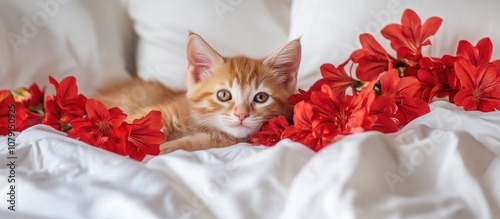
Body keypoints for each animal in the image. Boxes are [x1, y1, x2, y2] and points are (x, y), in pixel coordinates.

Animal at [94, 33, 300, 154]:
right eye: (223, 95)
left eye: (261, 97)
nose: (242, 115)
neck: (199, 123)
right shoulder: (162, 112)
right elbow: (134, 124)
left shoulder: (221, 140)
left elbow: (190, 143)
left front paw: (164, 147)